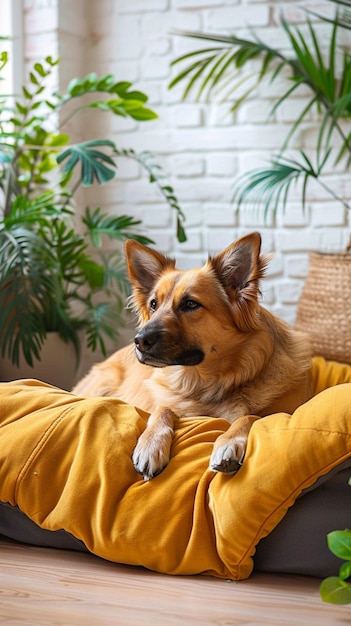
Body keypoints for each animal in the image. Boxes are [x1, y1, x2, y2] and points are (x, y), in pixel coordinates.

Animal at [73, 232, 312, 480]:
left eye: (190, 304)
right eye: (153, 304)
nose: (139, 341)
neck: (205, 382)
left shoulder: (284, 412)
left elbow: (253, 416)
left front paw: (229, 442)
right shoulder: (168, 400)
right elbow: (161, 410)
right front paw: (150, 445)